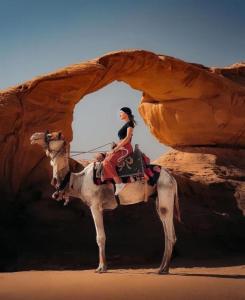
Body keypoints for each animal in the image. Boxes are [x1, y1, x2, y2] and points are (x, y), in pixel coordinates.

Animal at [29, 130, 181, 274]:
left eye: (50, 135)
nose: (33, 136)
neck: (78, 181)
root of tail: (172, 178)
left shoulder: (95, 205)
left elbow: (100, 237)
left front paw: (101, 268)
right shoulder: (100, 207)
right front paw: (103, 266)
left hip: (165, 192)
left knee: (170, 235)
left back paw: (163, 269)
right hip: (159, 198)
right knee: (167, 232)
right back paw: (162, 268)